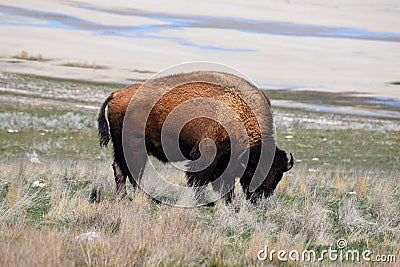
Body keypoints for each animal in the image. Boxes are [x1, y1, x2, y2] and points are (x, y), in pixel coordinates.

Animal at [98, 70, 292, 205]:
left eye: (277, 176)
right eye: (254, 170)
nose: (259, 198)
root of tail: (118, 93)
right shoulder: (206, 157)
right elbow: (199, 180)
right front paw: (202, 202)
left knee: (121, 169)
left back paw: (125, 198)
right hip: (134, 148)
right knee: (131, 172)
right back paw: (142, 199)